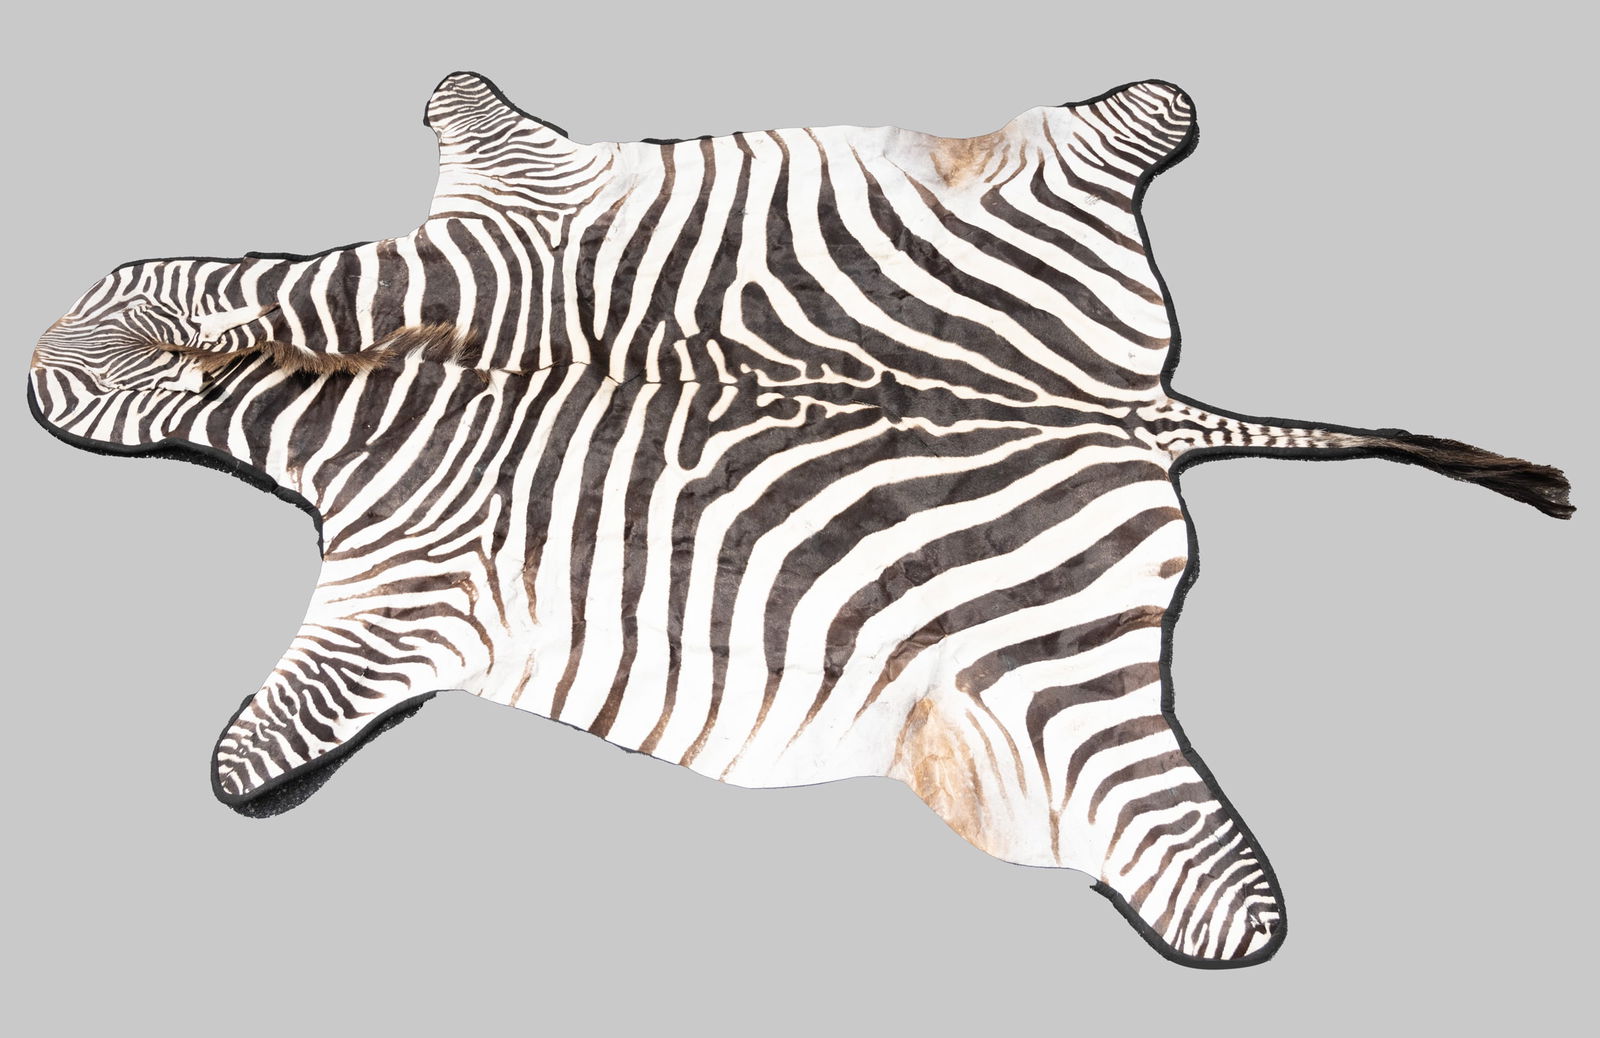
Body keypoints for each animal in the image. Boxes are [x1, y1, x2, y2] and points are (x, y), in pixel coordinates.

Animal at [26, 72, 1573, 967]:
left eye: (125, 325)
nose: (43, 347)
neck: (339, 362)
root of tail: (1137, 409)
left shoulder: (402, 587)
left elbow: (259, 744)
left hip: (1044, 688)